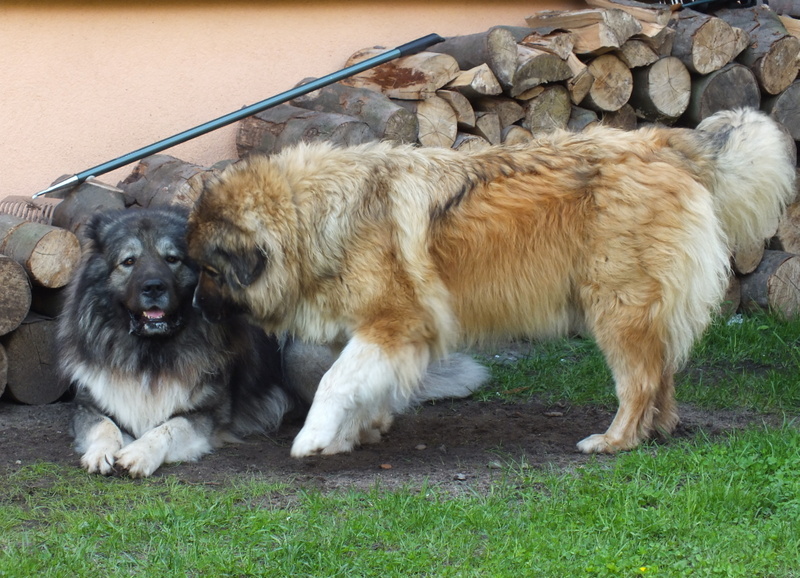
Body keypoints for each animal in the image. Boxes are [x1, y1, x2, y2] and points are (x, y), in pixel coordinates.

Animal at [59, 207, 486, 477]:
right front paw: (103, 452)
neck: (152, 352)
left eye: (173, 259)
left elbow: (167, 428)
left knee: (375, 409)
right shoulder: (89, 404)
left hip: (300, 352)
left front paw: (138, 454)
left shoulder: (205, 416)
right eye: (128, 261)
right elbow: (103, 426)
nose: (153, 287)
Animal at [185, 108, 796, 457]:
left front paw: (313, 439)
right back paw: (658, 431)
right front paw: (356, 434)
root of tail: (666, 144)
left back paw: (614, 440)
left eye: (209, 271)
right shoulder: (384, 336)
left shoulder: (396, 323)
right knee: (664, 371)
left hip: (616, 306)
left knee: (641, 379)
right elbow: (363, 386)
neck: (311, 216)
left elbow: (336, 382)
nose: (190, 306)